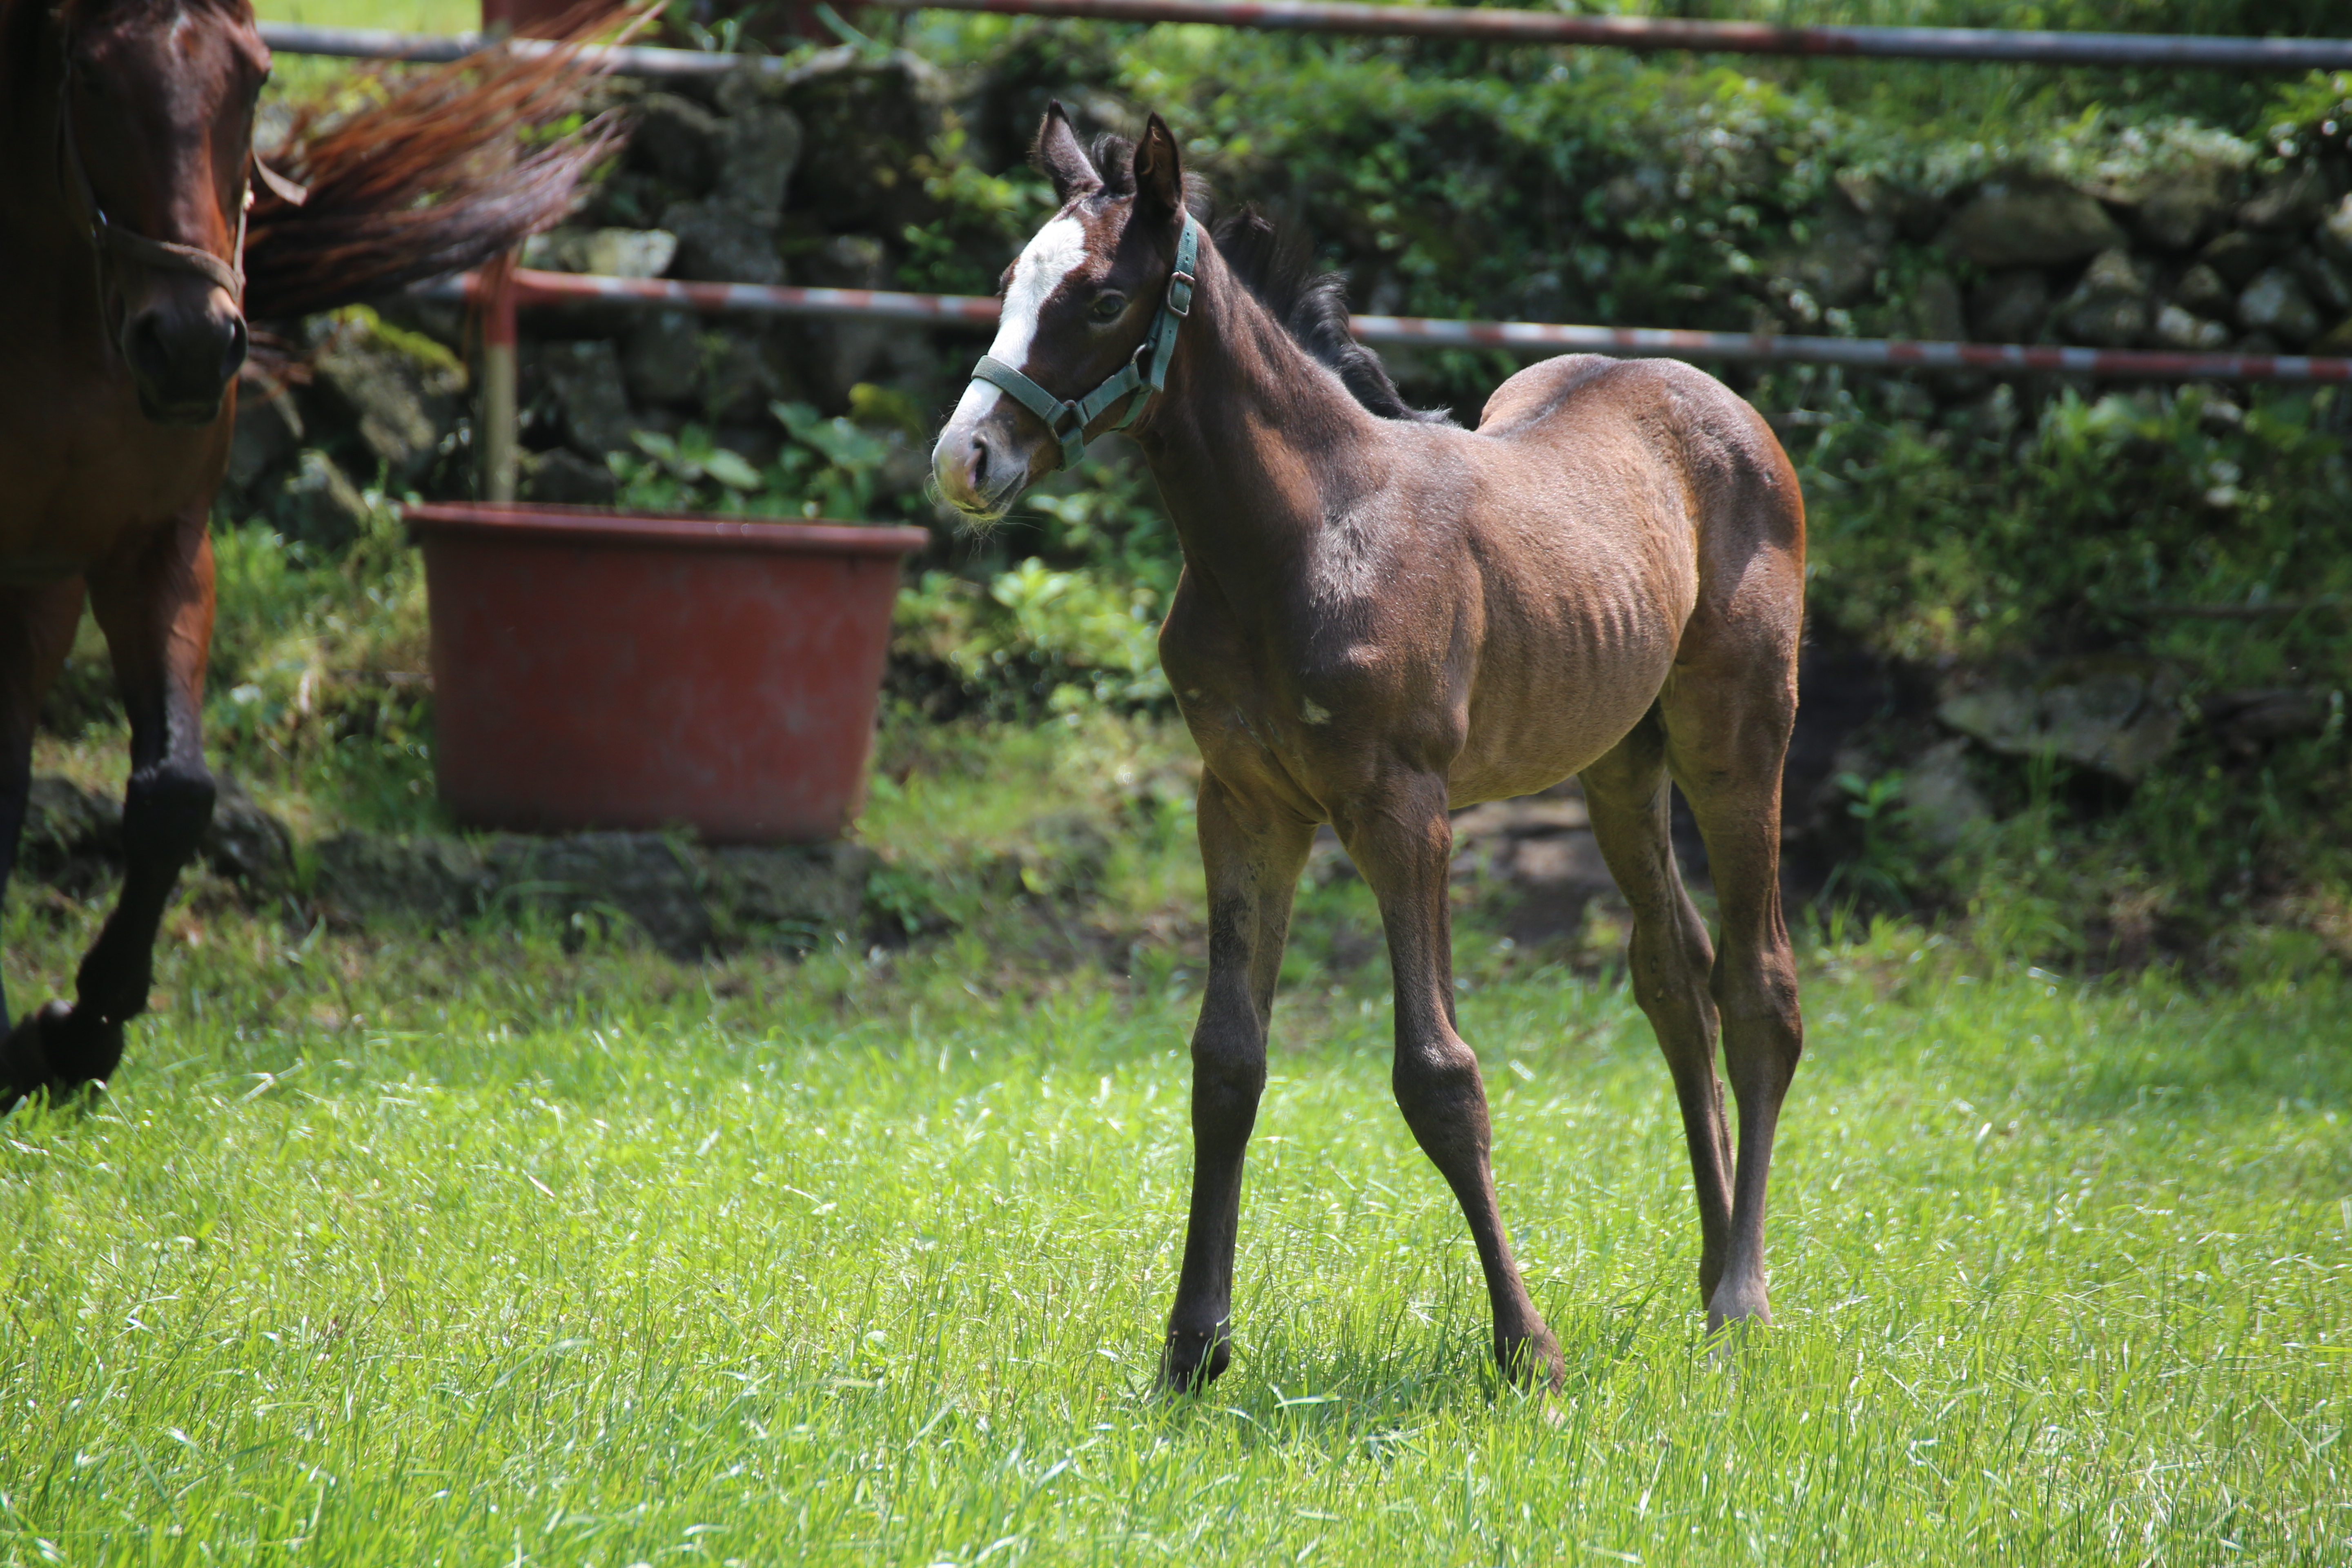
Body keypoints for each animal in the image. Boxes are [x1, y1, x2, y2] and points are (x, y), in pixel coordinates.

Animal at [2, 0, 607, 1109]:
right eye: (93, 78)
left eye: (257, 79)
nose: (192, 346)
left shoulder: (149, 547)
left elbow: (175, 793)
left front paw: (82, 1025)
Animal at [927, 107, 1806, 1382]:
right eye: (1006, 285)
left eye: (1099, 299)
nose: (966, 460)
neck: (1297, 535)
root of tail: (1712, 394)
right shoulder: (1244, 804)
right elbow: (1225, 1063)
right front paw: (1191, 1351)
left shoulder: (1402, 809)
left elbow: (1437, 1074)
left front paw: (1525, 1349)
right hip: (1615, 760)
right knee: (1672, 977)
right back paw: (1705, 1271)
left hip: (1738, 733)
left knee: (1758, 987)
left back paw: (1741, 1299)